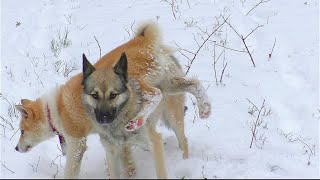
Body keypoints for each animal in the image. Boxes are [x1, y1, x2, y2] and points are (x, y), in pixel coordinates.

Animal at [82, 21, 212, 179]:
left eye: (113, 95)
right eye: (94, 95)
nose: (103, 118)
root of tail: (141, 39)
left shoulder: (154, 141)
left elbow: (161, 173)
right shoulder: (112, 151)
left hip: (169, 112)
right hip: (170, 84)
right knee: (193, 83)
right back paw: (205, 107)